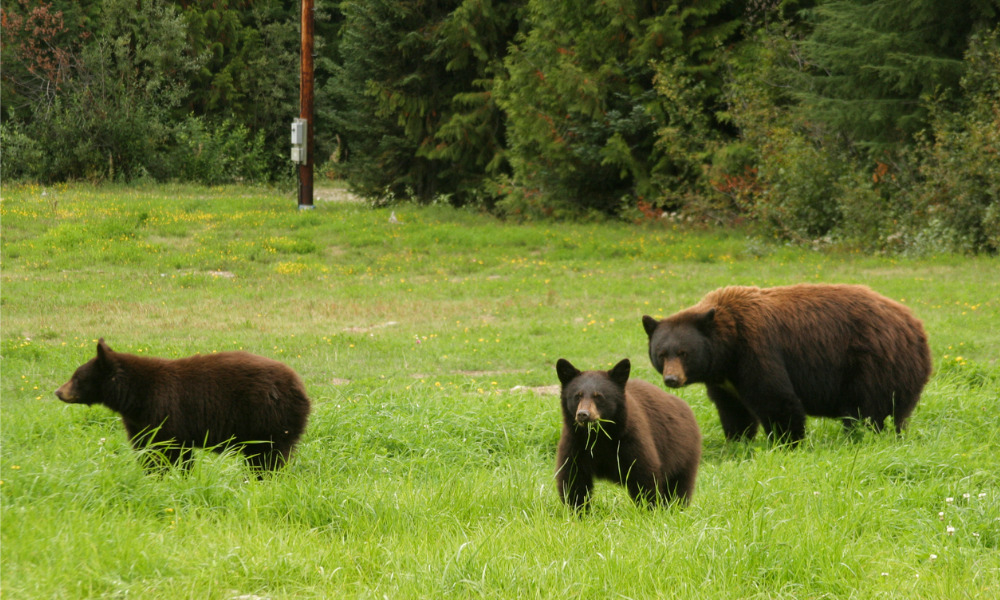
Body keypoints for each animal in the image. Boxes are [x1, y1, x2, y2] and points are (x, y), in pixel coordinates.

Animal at [54, 338, 310, 474]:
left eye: (77, 378)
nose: (58, 392)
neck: (134, 396)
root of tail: (299, 386)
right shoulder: (140, 421)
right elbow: (147, 447)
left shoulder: (165, 411)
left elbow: (168, 450)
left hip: (266, 418)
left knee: (267, 457)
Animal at [556, 358, 704, 508]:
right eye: (577, 396)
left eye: (599, 396)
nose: (583, 414)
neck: (599, 436)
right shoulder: (576, 442)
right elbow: (573, 478)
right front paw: (578, 510)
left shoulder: (630, 439)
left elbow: (643, 474)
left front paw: (648, 508)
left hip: (683, 453)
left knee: (679, 487)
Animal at [644, 284, 932, 442]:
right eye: (662, 353)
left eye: (683, 352)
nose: (671, 379)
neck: (727, 347)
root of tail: (916, 327)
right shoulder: (724, 380)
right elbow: (733, 409)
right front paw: (737, 439)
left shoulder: (756, 350)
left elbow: (776, 398)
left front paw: (786, 440)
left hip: (874, 364)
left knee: (867, 410)